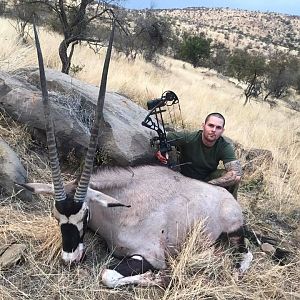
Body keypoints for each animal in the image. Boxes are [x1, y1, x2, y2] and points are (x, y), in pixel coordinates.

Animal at [19, 17, 253, 288]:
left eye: (84, 215)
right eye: (57, 216)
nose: (70, 258)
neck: (121, 208)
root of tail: (228, 198)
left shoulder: (151, 254)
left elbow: (108, 275)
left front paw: (160, 277)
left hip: (234, 232)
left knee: (246, 253)